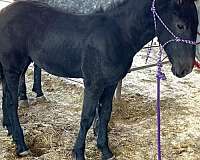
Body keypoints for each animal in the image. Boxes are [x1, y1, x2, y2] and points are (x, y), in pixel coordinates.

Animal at [0, 0, 198, 159]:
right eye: (180, 25)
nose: (185, 69)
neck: (118, 35)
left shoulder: (110, 84)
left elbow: (104, 115)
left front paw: (105, 150)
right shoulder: (93, 85)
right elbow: (87, 117)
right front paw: (79, 152)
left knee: (6, 97)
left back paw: (9, 131)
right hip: (12, 68)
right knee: (11, 102)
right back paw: (21, 145)